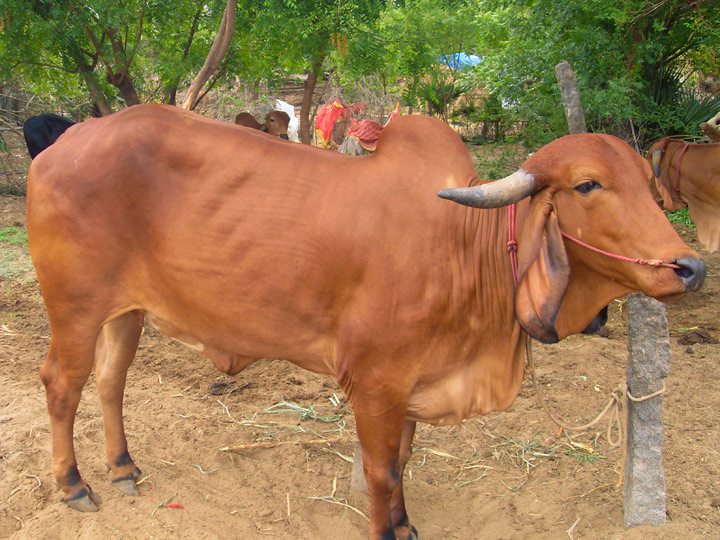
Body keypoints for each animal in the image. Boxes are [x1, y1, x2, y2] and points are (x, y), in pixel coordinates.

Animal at [26, 104, 704, 539]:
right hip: (75, 308)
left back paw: (123, 468)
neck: (464, 243)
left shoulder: (411, 385)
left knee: (111, 382)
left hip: (126, 313)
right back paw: (73, 485)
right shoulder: (376, 384)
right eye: (588, 185)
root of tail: (62, 144)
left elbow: (404, 463)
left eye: (649, 182)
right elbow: (381, 473)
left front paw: (405, 526)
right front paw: (387, 530)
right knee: (62, 385)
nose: (689, 266)